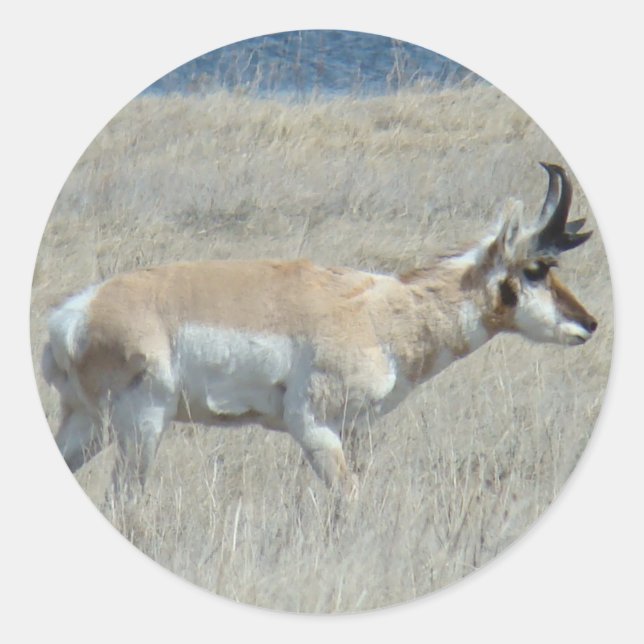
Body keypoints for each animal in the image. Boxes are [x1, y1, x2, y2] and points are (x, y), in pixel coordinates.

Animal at [42, 163, 597, 497]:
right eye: (536, 268)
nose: (589, 324)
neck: (382, 311)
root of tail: (75, 314)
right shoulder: (314, 427)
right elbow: (347, 498)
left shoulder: (355, 428)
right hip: (142, 426)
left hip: (88, 425)